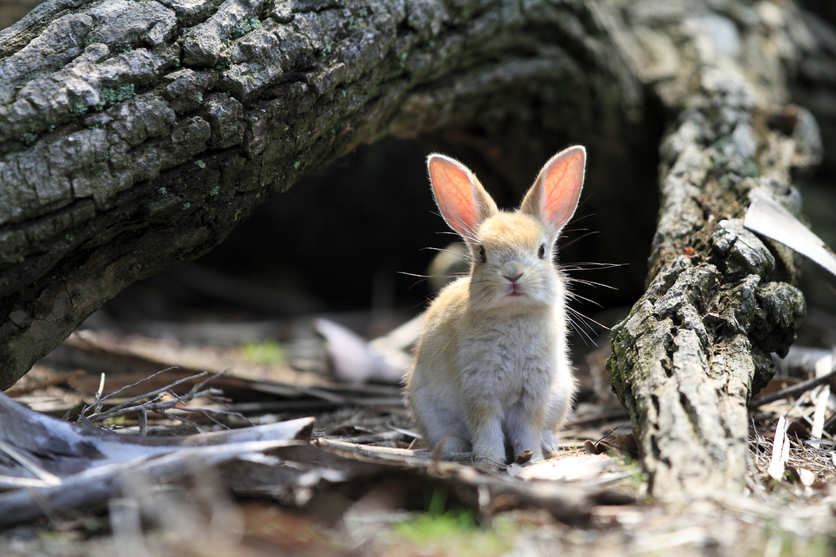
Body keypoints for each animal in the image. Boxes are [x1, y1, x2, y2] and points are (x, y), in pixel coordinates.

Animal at [402, 146, 584, 462]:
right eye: (482, 253)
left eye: (542, 250)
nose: (513, 274)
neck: (513, 315)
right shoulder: (479, 388)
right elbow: (485, 424)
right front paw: (491, 459)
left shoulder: (533, 392)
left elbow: (528, 427)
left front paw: (532, 457)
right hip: (426, 407)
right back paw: (454, 449)